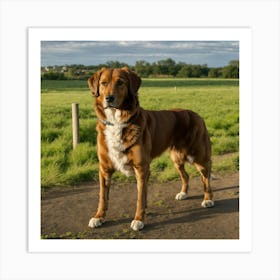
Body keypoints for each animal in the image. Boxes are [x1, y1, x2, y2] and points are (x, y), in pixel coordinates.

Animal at [86, 66, 213, 231]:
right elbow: (103, 196)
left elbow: (140, 197)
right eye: (103, 83)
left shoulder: (141, 168)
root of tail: (195, 114)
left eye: (120, 83)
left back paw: (208, 199)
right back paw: (183, 193)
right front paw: (98, 217)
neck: (117, 122)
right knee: (185, 175)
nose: (109, 98)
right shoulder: (104, 169)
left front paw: (139, 219)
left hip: (198, 156)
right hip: (177, 158)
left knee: (206, 177)